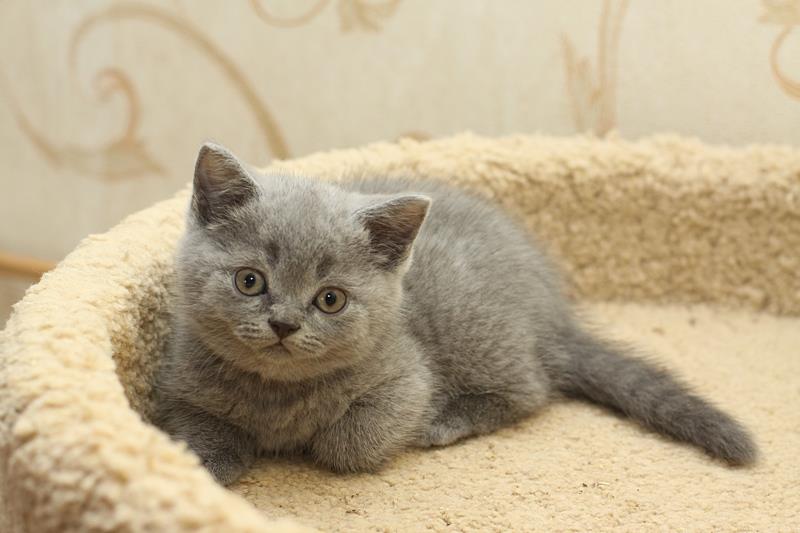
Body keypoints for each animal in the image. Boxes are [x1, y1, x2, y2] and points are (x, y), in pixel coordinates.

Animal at [153, 142, 757, 485]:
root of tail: (552, 312)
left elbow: (352, 443)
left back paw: (447, 421)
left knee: (532, 390)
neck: (278, 394)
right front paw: (211, 463)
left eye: (330, 299)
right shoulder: (179, 383)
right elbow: (198, 435)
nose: (283, 325)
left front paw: (324, 442)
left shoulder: (405, 379)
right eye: (250, 281)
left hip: (471, 323)